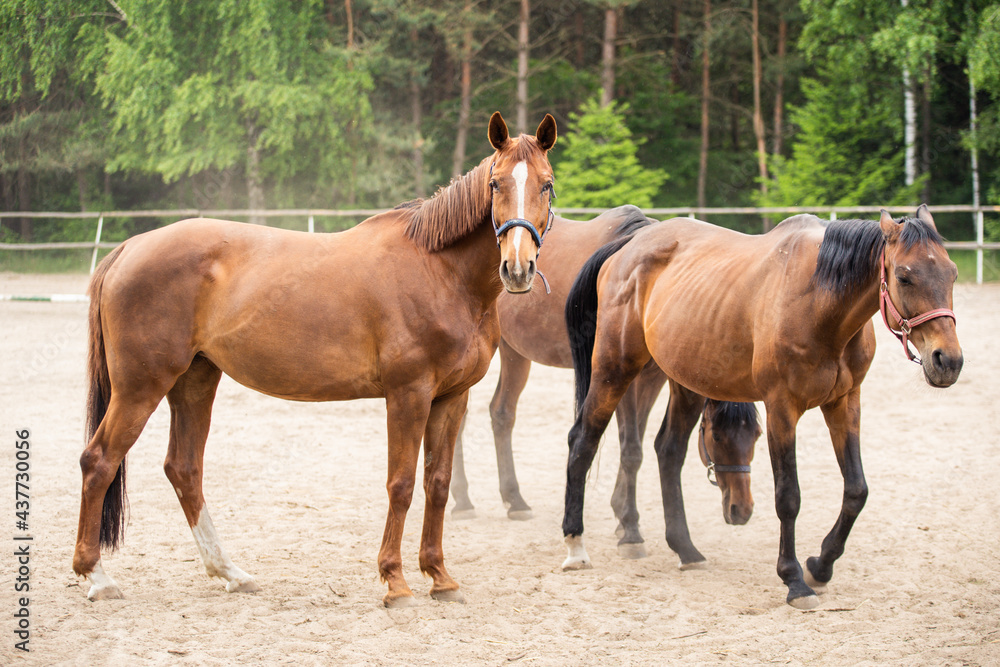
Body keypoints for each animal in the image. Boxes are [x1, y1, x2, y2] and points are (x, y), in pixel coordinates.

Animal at [74, 111, 560, 612]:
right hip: (140, 387)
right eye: (496, 183)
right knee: (99, 461)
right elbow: (402, 484)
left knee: (184, 469)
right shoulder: (408, 395)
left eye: (546, 185)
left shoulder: (451, 398)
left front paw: (440, 577)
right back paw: (98, 576)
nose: (518, 268)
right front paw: (396, 582)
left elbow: (438, 484)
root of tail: (128, 248)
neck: (440, 271)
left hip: (194, 381)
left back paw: (229, 572)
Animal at [564, 207, 960, 612]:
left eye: (952, 273)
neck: (821, 304)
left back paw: (686, 549)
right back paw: (575, 545)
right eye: (904, 277)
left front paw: (820, 565)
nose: (947, 360)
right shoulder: (781, 409)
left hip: (687, 383)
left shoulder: (845, 403)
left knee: (669, 451)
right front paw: (794, 580)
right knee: (583, 440)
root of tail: (630, 245)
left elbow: (856, 490)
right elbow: (788, 497)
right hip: (615, 368)